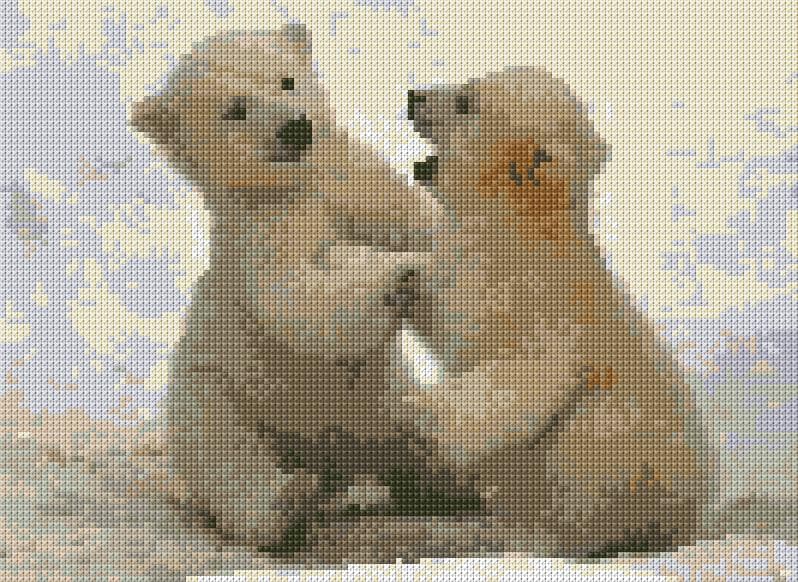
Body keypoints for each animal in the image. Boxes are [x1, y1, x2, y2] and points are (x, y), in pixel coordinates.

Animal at [129, 23, 446, 550]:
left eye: (287, 81)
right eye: (236, 108)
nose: (295, 128)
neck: (300, 184)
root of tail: (337, 462)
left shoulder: (353, 181)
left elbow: (418, 220)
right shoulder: (261, 231)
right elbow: (292, 294)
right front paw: (396, 276)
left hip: (388, 402)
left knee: (421, 439)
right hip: (219, 395)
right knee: (232, 462)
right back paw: (287, 505)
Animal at [397, 67, 710, 557]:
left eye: (466, 101)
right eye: (470, 80)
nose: (415, 96)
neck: (517, 231)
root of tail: (689, 524)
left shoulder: (534, 304)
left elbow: (528, 374)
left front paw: (419, 410)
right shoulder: (464, 275)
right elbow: (441, 310)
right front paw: (403, 282)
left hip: (636, 453)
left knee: (587, 439)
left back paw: (541, 531)